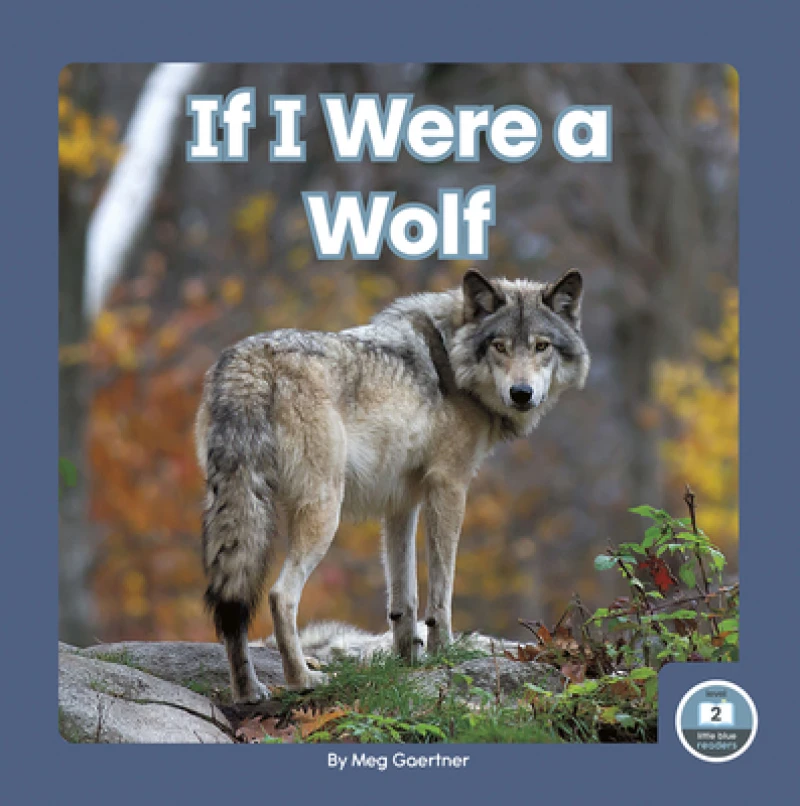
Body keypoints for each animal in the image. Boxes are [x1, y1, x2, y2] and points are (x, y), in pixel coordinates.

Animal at [195, 268, 589, 702]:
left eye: (541, 346)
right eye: (500, 346)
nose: (522, 394)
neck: (451, 359)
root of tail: (249, 363)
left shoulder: (401, 502)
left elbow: (404, 598)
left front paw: (408, 660)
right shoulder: (449, 487)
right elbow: (441, 590)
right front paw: (442, 653)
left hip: (237, 508)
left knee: (233, 604)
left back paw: (248, 691)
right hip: (323, 511)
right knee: (281, 595)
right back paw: (303, 680)